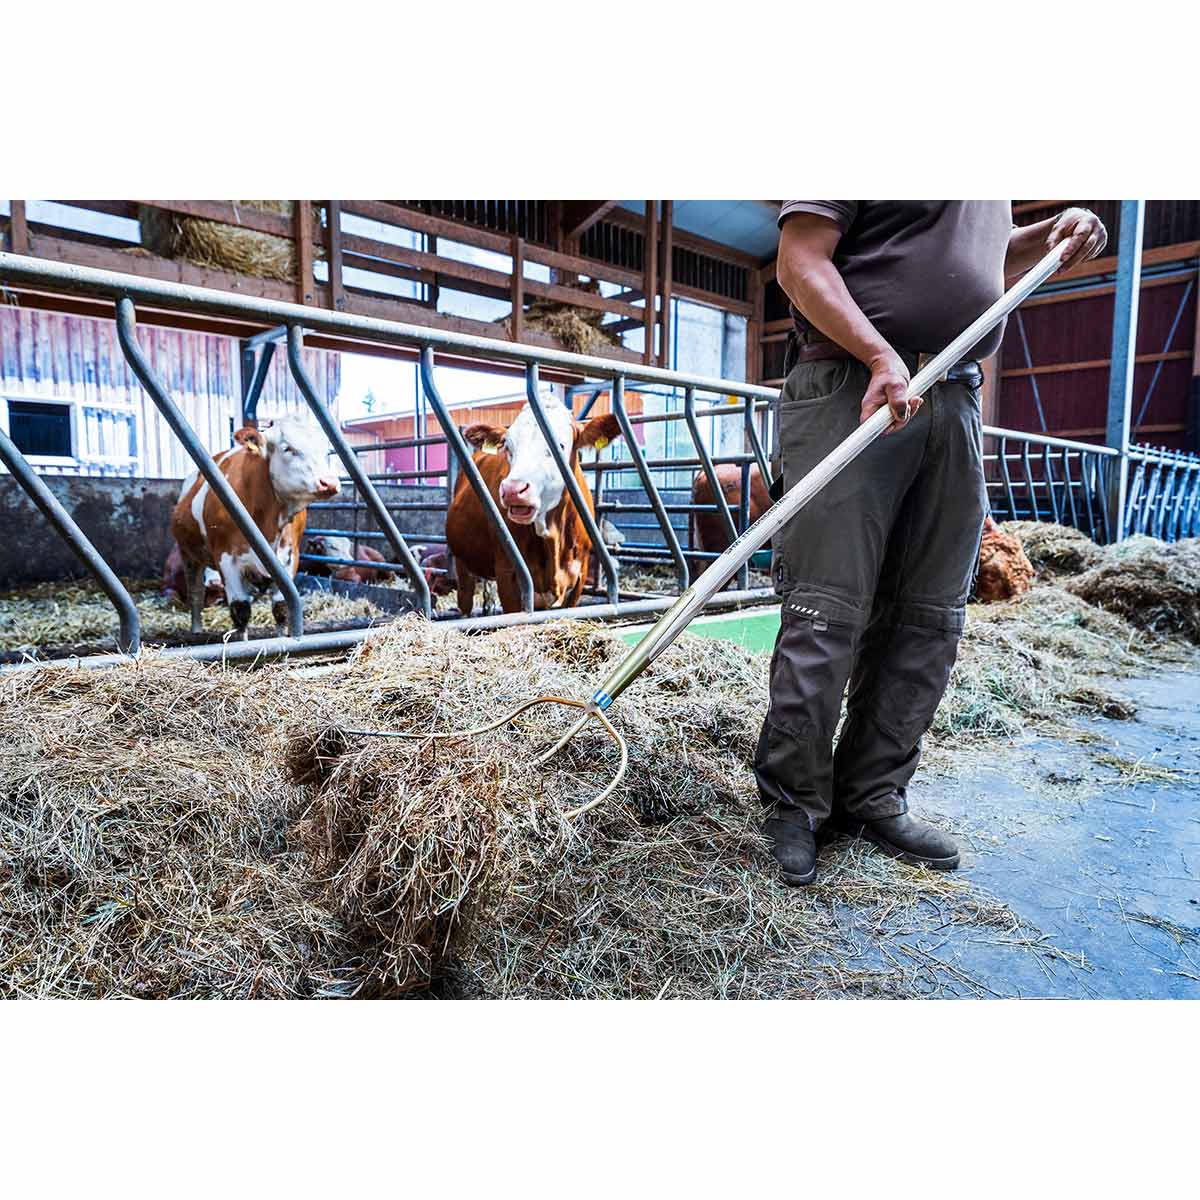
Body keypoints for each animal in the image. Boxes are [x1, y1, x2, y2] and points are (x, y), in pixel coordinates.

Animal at [169, 415, 340, 638]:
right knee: (196, 594)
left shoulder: (289, 558)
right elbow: (240, 610)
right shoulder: (226, 559)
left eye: (326, 451)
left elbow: (282, 608)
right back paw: (196, 630)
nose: (329, 483)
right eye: (288, 448)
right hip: (188, 555)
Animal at [446, 398, 624, 614]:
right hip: (462, 563)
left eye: (559, 446)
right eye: (508, 447)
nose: (513, 489)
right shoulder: (508, 573)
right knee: (465, 600)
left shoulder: (578, 576)